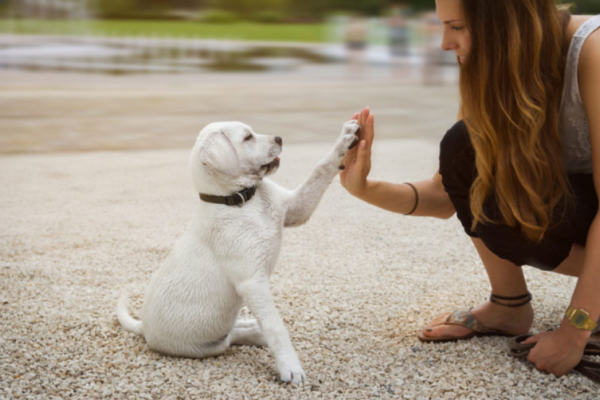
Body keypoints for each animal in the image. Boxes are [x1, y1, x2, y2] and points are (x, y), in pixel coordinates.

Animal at [119, 119, 358, 384]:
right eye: (247, 138)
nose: (279, 138)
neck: (242, 200)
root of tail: (143, 327)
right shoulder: (253, 282)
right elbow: (275, 325)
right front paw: (290, 366)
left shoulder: (297, 209)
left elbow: (320, 168)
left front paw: (345, 139)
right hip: (207, 346)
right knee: (230, 337)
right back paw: (256, 333)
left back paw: (253, 328)